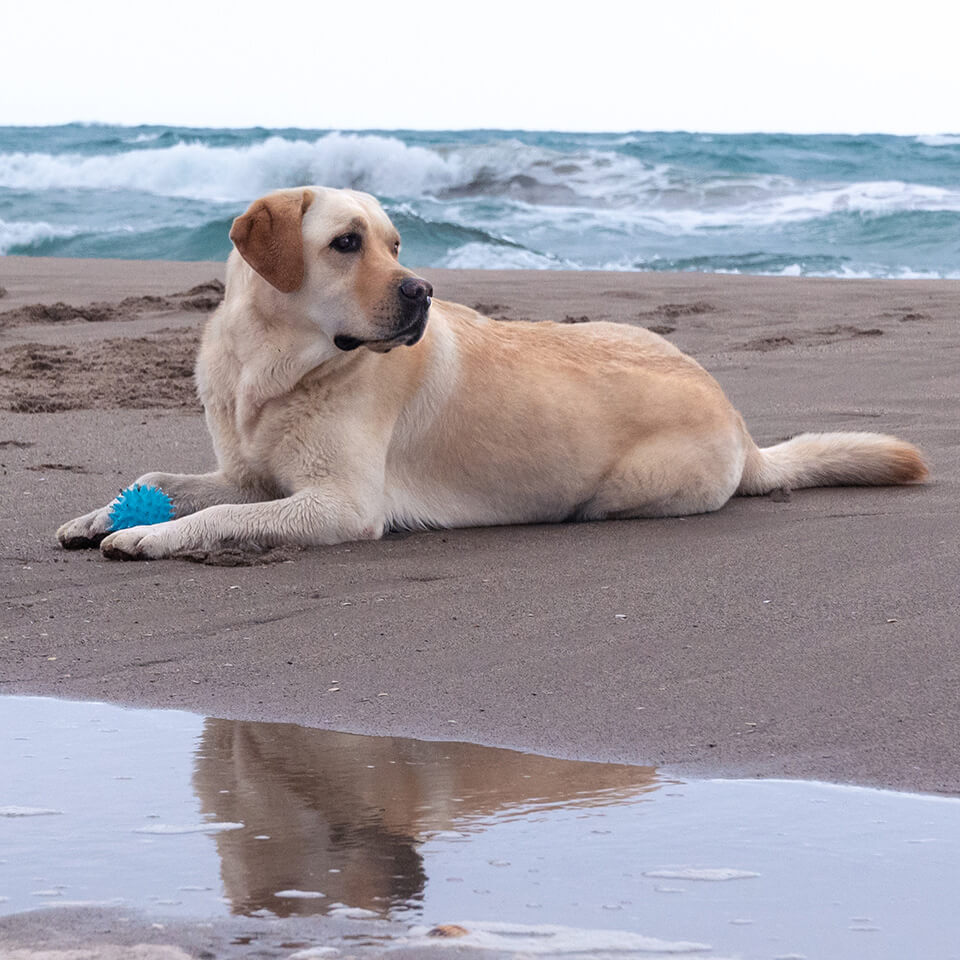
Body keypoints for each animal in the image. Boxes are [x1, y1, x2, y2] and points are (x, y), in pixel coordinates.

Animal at [56, 188, 928, 560]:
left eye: (396, 244)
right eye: (347, 243)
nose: (420, 291)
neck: (274, 362)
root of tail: (744, 428)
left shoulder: (340, 504)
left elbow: (215, 516)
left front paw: (146, 534)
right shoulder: (251, 471)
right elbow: (165, 477)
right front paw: (97, 515)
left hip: (627, 488)